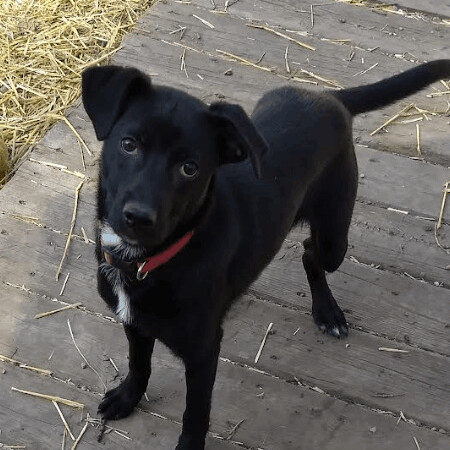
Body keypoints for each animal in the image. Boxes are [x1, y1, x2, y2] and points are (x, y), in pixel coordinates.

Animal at [81, 60, 450, 450]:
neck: (150, 261)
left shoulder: (203, 352)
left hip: (334, 237)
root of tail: (328, 97)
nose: (138, 217)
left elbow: (195, 414)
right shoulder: (134, 323)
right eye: (128, 144)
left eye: (190, 168)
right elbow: (139, 364)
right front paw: (127, 398)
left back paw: (327, 312)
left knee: (310, 254)